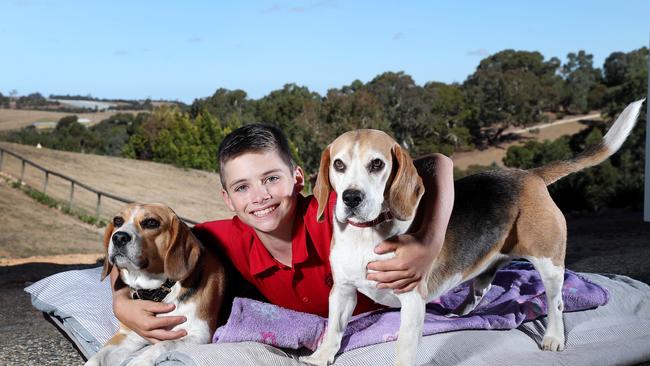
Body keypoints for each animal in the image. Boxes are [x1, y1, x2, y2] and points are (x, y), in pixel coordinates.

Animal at [85, 203, 228, 366]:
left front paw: (139, 361)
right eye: (117, 221)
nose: (119, 237)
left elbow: (165, 343)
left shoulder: (200, 335)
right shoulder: (129, 334)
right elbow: (97, 357)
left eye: (151, 223)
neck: (159, 290)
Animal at [302, 100, 644, 366]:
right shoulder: (343, 291)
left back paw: (554, 337)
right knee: (481, 288)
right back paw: (458, 315)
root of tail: (530, 176)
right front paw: (320, 357)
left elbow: (403, 348)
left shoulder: (411, 300)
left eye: (377, 164)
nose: (351, 198)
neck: (366, 235)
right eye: (338, 165)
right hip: (488, 267)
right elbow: (334, 330)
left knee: (556, 302)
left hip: (549, 263)